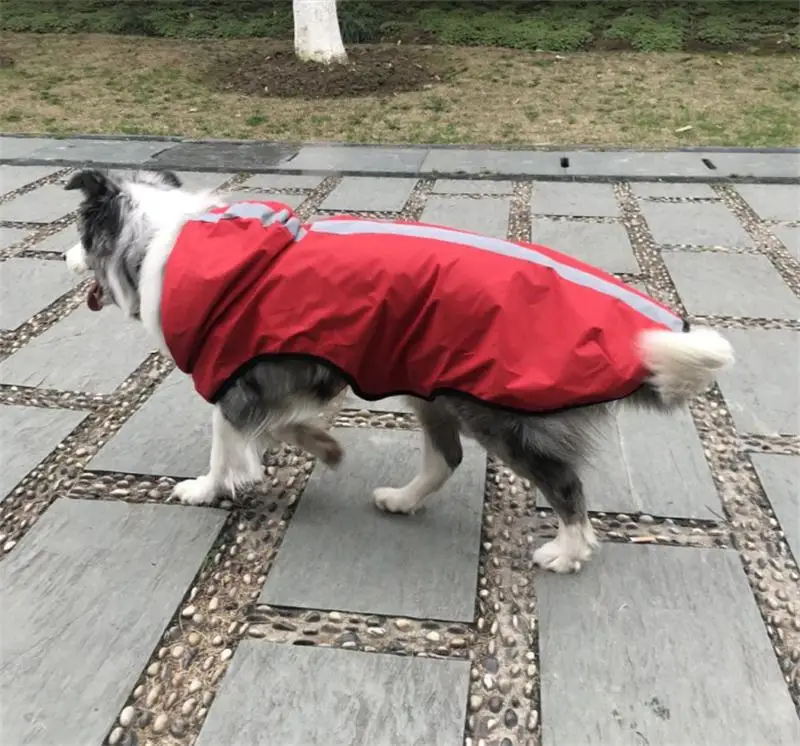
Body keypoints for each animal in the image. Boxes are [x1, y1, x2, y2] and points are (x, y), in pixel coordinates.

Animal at [65, 169, 736, 572]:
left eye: (79, 231)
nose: (63, 254)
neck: (165, 240)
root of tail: (637, 336)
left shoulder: (239, 376)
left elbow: (226, 443)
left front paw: (208, 488)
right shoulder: (312, 371)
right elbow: (280, 428)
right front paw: (320, 448)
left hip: (502, 411)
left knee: (566, 486)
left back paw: (567, 551)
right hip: (432, 386)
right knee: (447, 459)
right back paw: (402, 499)